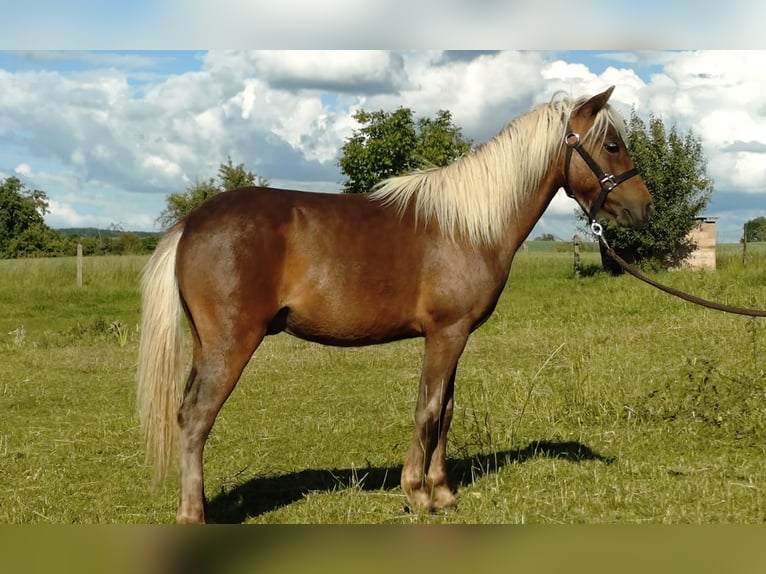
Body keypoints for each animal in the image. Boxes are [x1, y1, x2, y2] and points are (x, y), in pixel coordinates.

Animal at [137, 86, 652, 523]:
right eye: (612, 145)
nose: (643, 208)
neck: (468, 225)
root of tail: (191, 222)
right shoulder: (446, 334)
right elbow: (428, 409)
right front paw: (417, 493)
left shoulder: (456, 335)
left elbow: (446, 410)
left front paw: (443, 491)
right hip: (231, 344)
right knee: (197, 418)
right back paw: (193, 515)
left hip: (206, 345)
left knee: (186, 414)